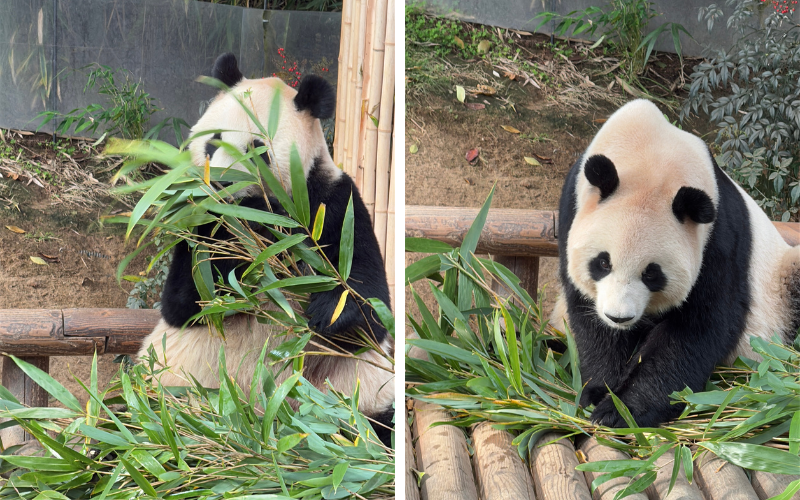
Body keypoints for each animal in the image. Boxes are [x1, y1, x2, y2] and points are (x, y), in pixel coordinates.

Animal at [142, 53, 398, 446]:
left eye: (257, 150)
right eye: (213, 143)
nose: (220, 185)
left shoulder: (335, 204)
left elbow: (369, 309)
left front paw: (326, 312)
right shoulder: (193, 227)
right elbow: (186, 304)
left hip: (360, 397)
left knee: (378, 424)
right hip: (169, 394)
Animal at [552, 99, 796, 428]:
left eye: (652, 274)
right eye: (602, 263)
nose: (619, 317)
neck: (652, 154)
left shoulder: (719, 239)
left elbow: (697, 328)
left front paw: (620, 410)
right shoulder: (572, 207)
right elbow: (589, 318)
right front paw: (598, 391)